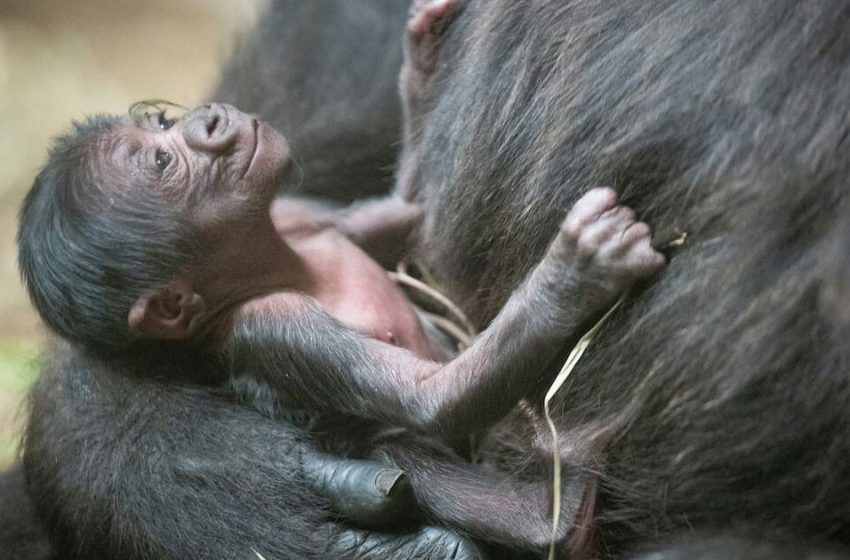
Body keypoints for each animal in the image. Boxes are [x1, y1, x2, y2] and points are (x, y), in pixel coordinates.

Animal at [14, 104, 664, 552]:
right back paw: (559, 514)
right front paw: (572, 273)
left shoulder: (302, 216)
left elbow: (408, 207)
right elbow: (428, 399)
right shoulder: (275, 323)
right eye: (163, 164)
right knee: (397, 448)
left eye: (161, 124)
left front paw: (424, 46)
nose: (210, 120)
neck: (283, 260)